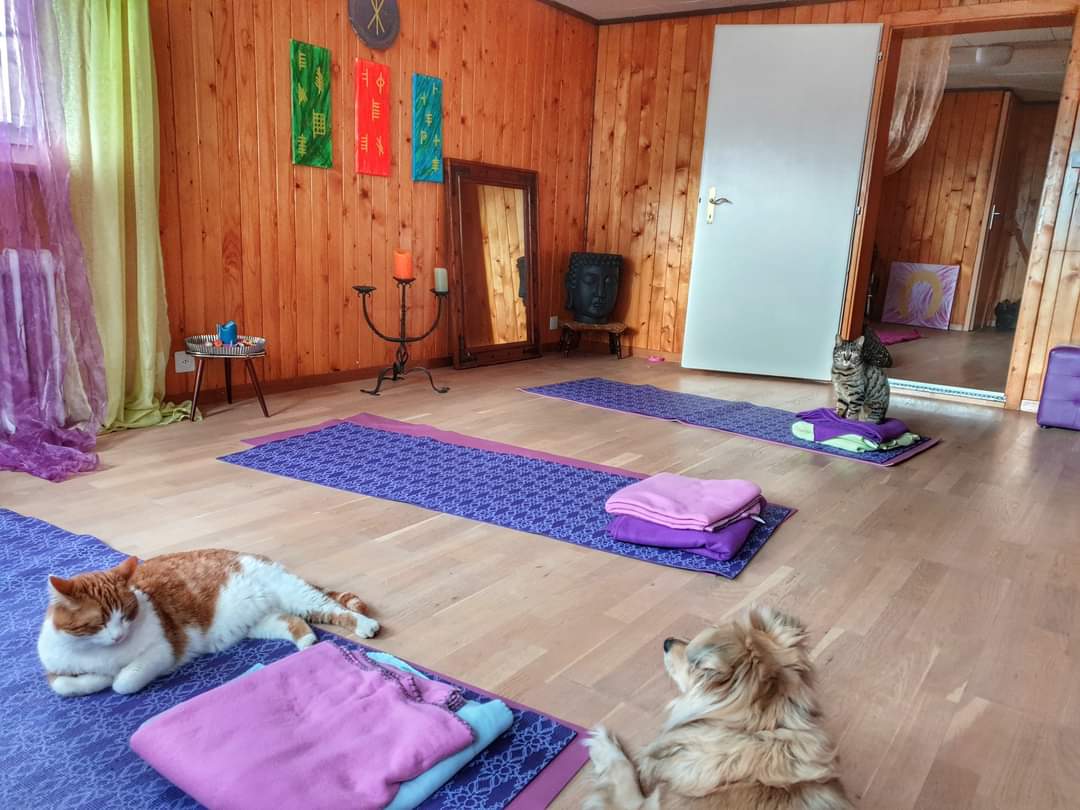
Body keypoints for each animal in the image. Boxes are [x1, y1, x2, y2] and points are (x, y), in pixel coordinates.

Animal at [38, 550, 379, 697]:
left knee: (336, 609)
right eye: (99, 622)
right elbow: (66, 685)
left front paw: (116, 677)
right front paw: (99, 678)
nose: (118, 636)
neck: (100, 653)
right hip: (262, 622)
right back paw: (307, 644)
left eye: (126, 614)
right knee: (292, 620)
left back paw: (365, 625)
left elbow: (123, 682)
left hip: (297, 595)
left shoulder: (165, 649)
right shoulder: (54, 667)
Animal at [584, 607, 851, 809]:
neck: (752, 732)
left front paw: (602, 744)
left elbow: (624, 773)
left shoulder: (645, 803)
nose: (667, 641)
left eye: (694, 662)